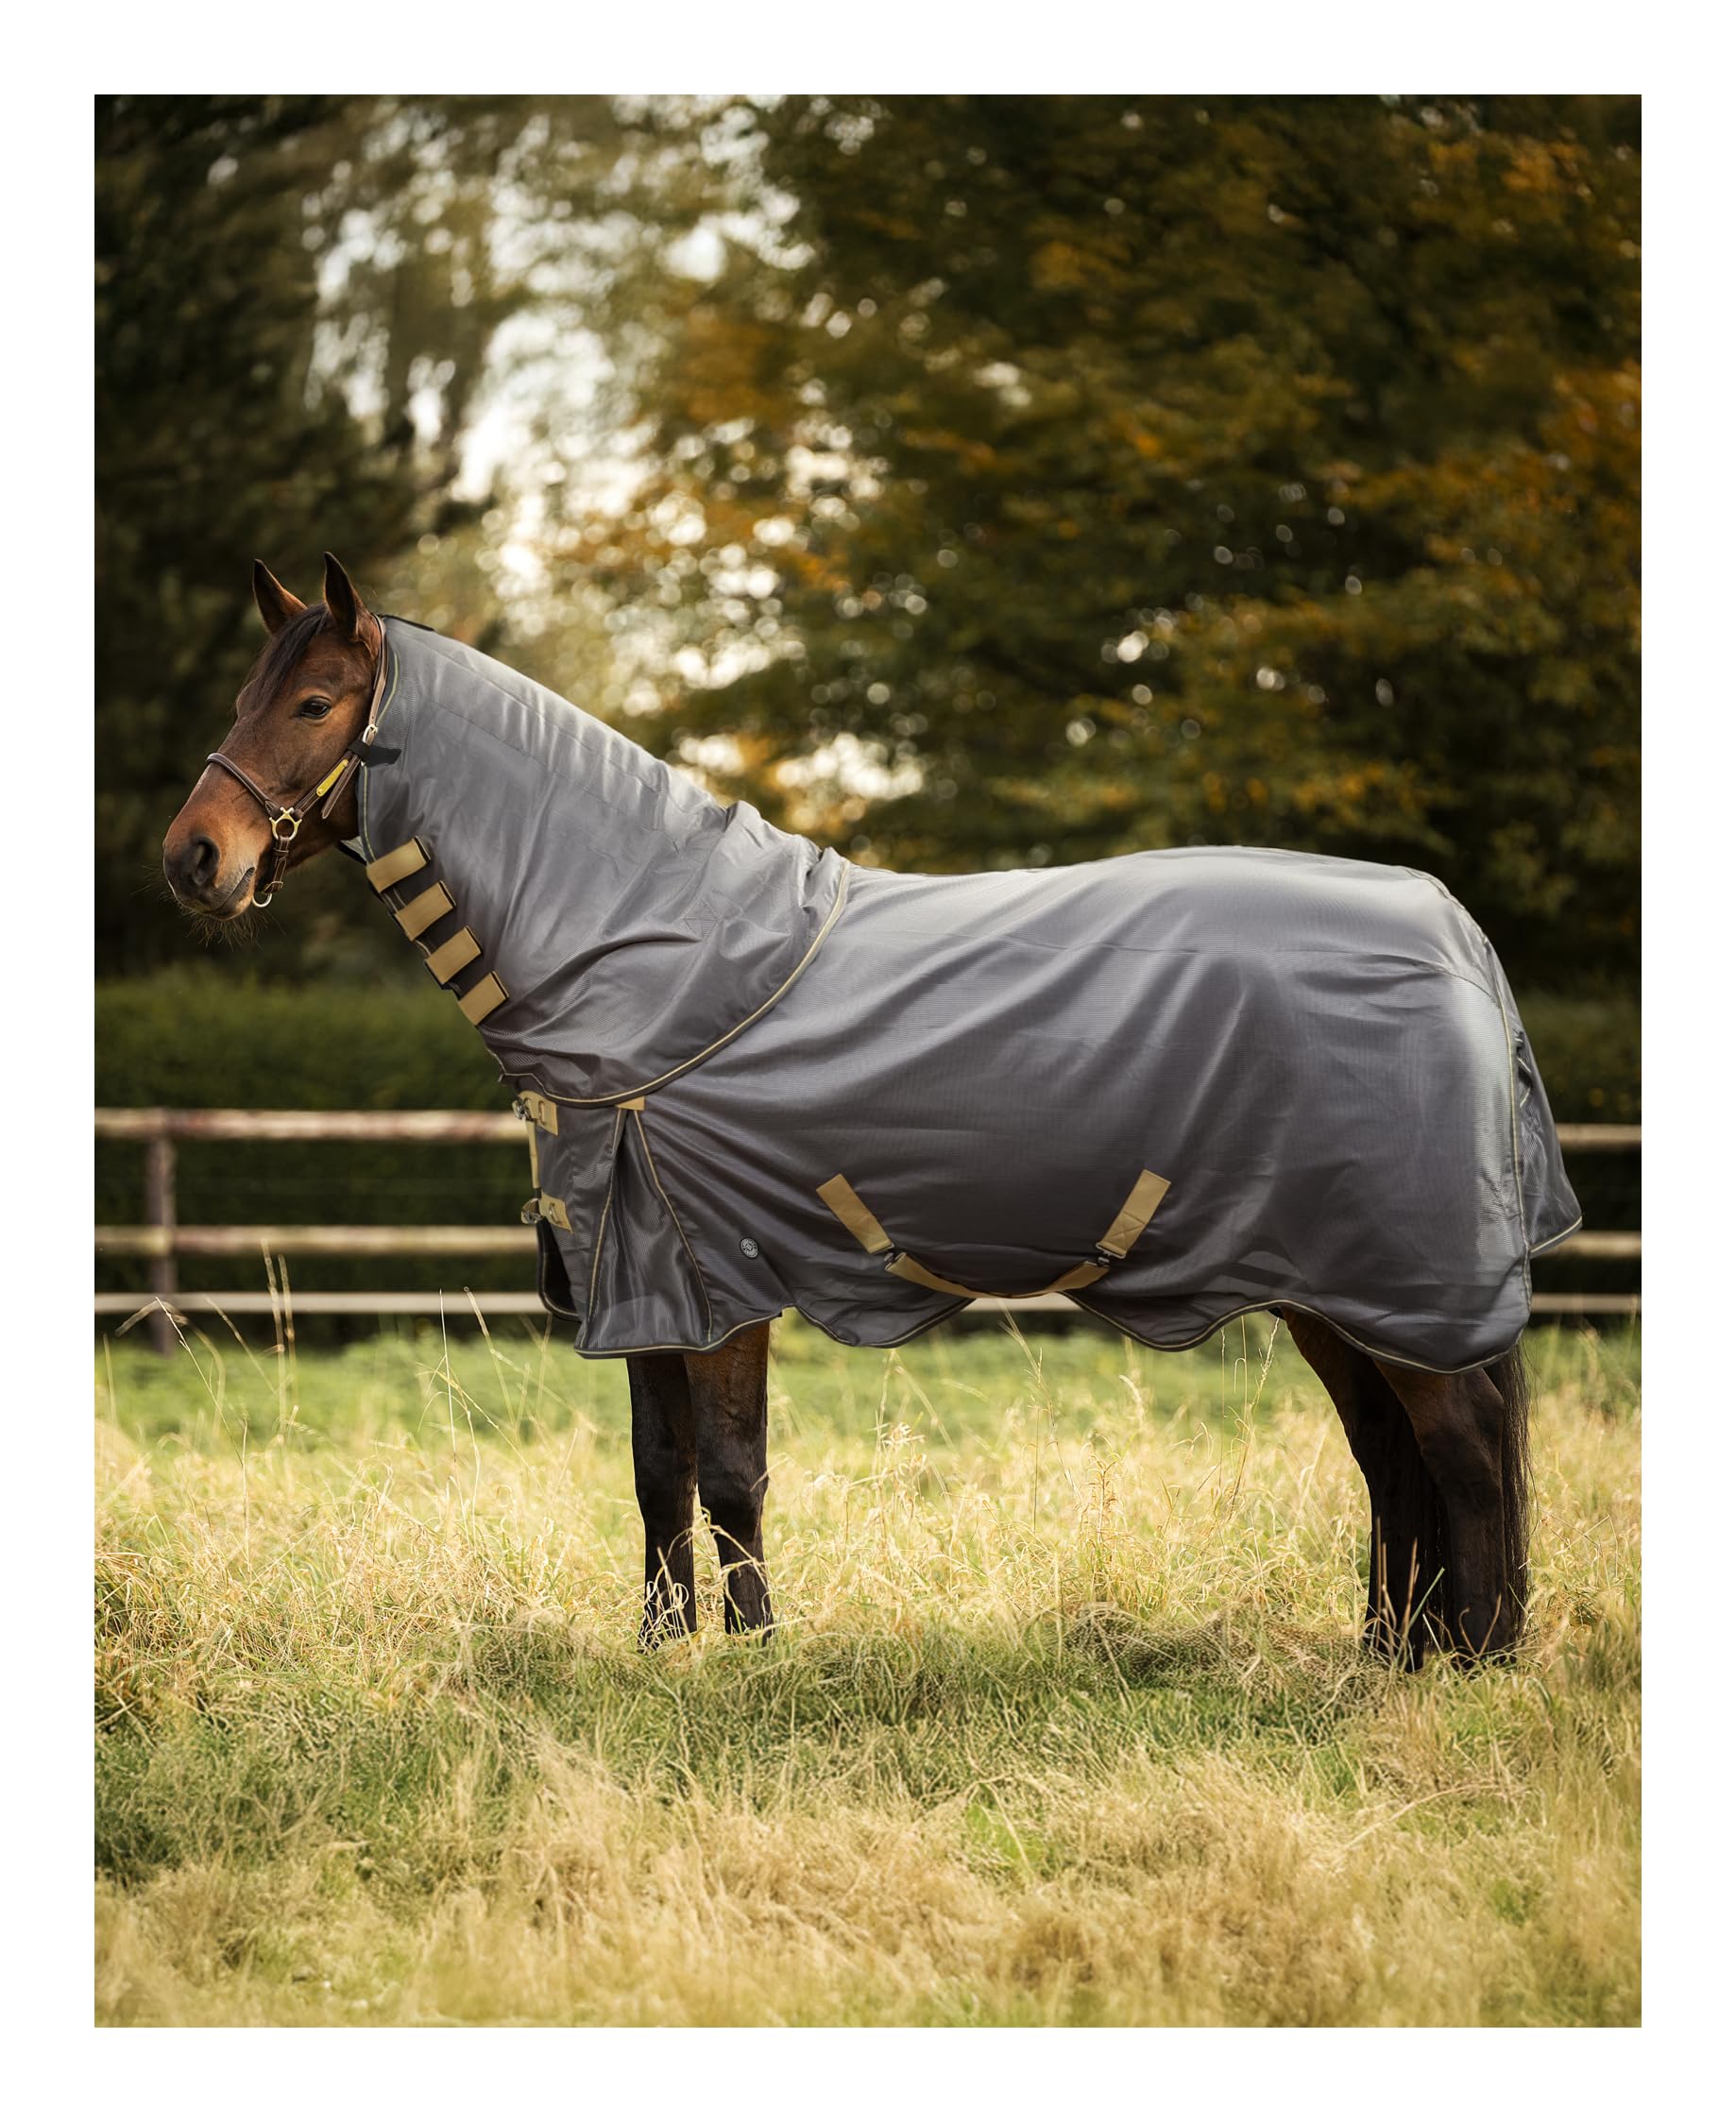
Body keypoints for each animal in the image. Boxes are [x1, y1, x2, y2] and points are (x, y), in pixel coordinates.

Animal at [162, 553, 1579, 1664]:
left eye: (314, 701)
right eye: (242, 697)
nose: (193, 859)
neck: (653, 944)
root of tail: (1454, 932)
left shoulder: (712, 1274)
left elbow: (732, 1475)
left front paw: (755, 1660)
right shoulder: (639, 1282)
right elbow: (657, 1476)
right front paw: (664, 1654)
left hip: (1393, 1275)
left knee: (1461, 1448)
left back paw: (1470, 1669)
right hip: (1329, 1285)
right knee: (1392, 1458)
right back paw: (1394, 1656)